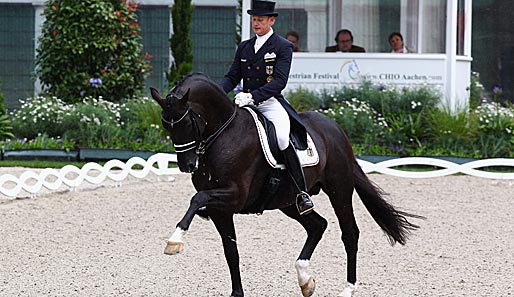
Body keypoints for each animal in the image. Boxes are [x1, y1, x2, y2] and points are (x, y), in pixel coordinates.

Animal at [149, 72, 420, 296]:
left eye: (186, 122)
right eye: (165, 124)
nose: (187, 165)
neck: (223, 134)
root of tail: (336, 129)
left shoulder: (235, 196)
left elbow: (197, 199)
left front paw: (174, 240)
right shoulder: (221, 210)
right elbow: (231, 252)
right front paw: (237, 293)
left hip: (339, 190)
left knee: (349, 233)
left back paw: (347, 289)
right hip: (289, 201)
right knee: (318, 225)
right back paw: (305, 280)